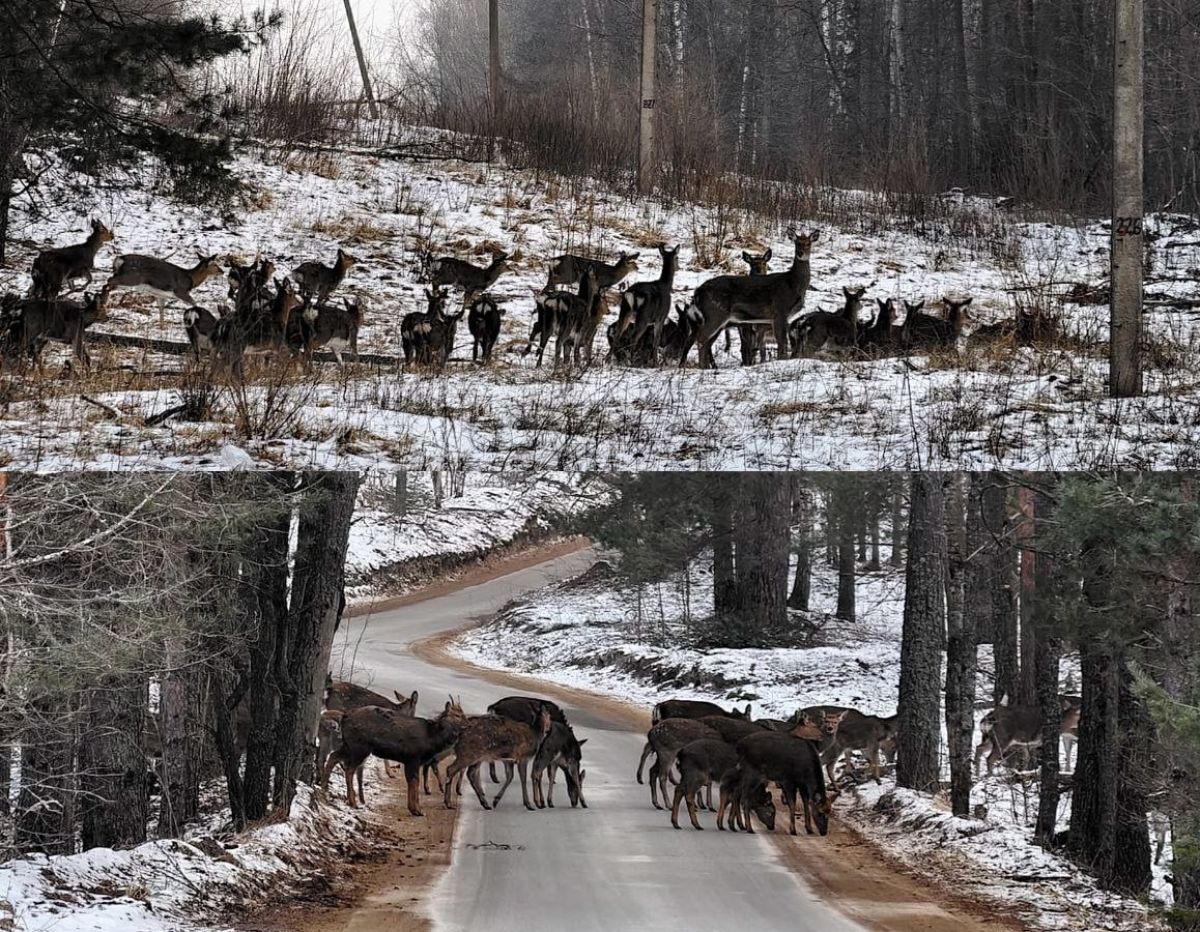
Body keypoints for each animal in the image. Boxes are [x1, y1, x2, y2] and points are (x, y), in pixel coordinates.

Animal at [321, 695, 465, 810]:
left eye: (462, 713)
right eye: (457, 715)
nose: (466, 724)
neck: (432, 739)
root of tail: (345, 716)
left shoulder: (413, 761)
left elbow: (413, 782)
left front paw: (414, 808)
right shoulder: (413, 758)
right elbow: (414, 782)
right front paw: (416, 810)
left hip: (349, 745)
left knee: (334, 757)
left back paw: (324, 789)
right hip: (359, 747)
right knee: (349, 769)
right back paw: (352, 801)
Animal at [681, 229, 820, 367]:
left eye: (808, 243)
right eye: (797, 243)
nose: (800, 253)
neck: (793, 285)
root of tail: (698, 291)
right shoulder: (779, 310)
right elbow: (781, 342)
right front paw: (782, 361)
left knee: (704, 341)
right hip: (715, 312)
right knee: (701, 339)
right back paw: (702, 367)